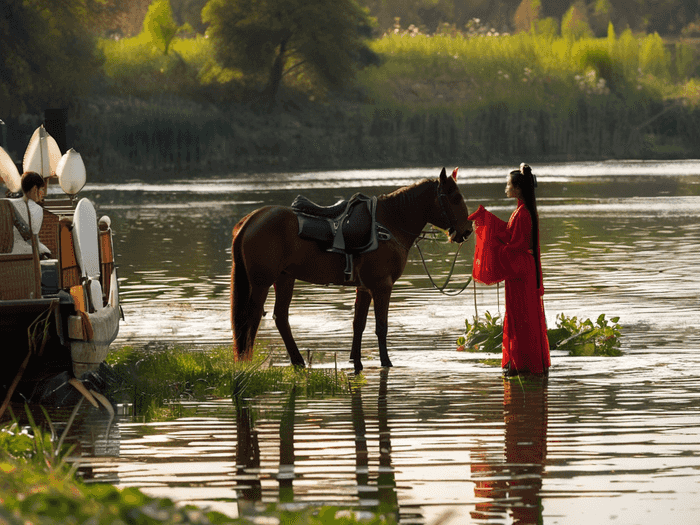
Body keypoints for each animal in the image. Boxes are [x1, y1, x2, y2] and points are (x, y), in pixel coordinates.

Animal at [230, 168, 470, 372]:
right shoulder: (382, 286)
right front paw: (386, 361)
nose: (466, 231)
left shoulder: (364, 288)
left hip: (284, 278)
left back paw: (297, 361)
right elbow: (381, 326)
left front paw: (356, 361)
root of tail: (251, 219)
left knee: (280, 318)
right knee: (252, 316)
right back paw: (247, 359)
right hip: (261, 283)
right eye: (456, 198)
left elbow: (358, 324)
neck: (389, 223)